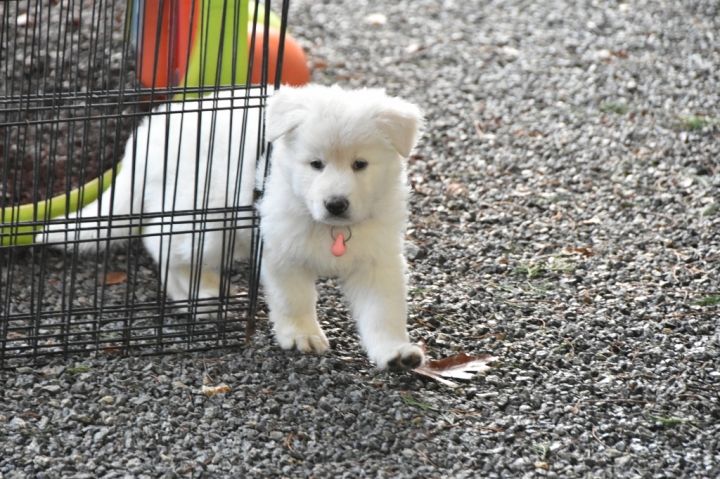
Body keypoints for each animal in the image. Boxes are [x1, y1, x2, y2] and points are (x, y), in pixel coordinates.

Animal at [38, 85, 425, 369]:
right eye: (315, 164)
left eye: (361, 164)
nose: (336, 204)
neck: (326, 225)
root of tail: (142, 144)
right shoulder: (278, 250)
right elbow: (294, 299)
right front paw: (301, 334)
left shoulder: (377, 260)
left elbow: (383, 310)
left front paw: (394, 352)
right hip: (206, 219)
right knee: (161, 245)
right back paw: (201, 297)